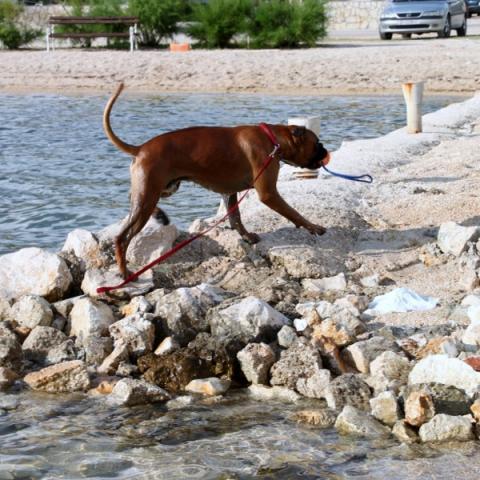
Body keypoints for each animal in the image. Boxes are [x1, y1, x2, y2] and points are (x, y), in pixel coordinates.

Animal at [103, 83, 330, 279]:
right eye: (317, 143)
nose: (325, 150)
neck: (273, 139)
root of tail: (141, 148)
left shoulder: (230, 193)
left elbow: (236, 218)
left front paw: (246, 237)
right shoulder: (269, 194)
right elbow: (294, 213)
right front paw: (313, 227)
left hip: (156, 191)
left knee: (131, 200)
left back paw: (158, 217)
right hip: (147, 198)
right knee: (122, 238)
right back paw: (124, 272)